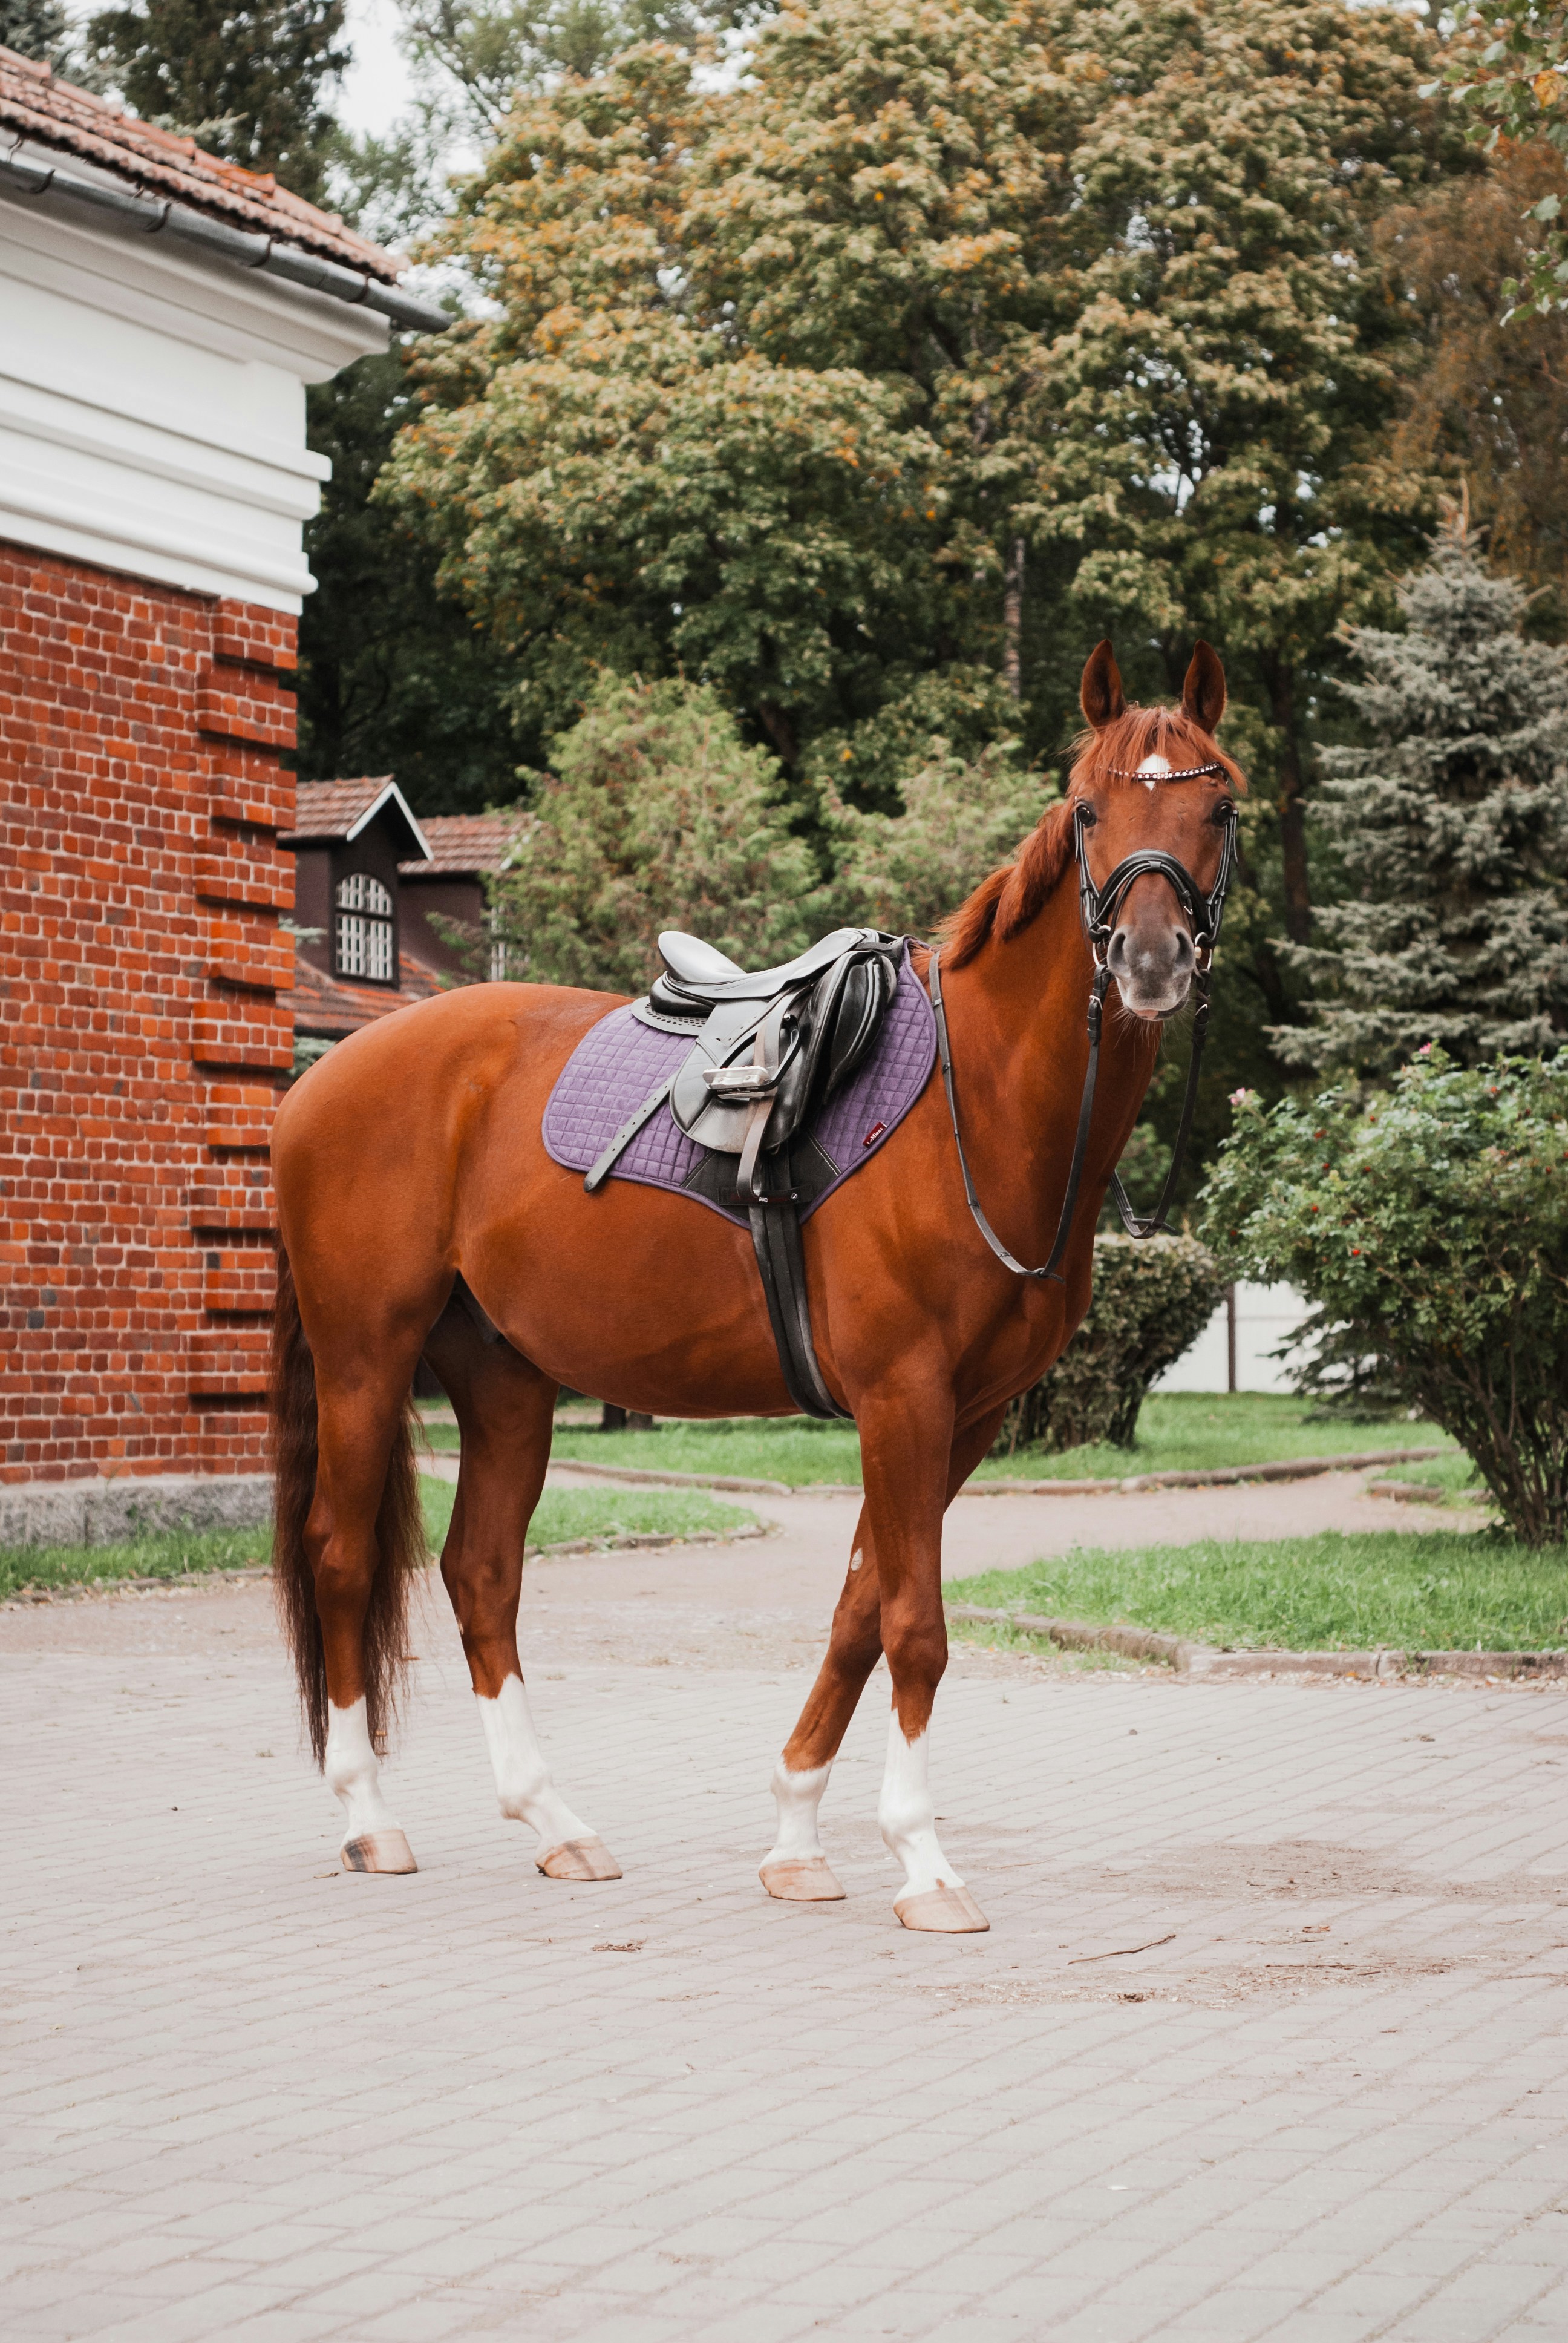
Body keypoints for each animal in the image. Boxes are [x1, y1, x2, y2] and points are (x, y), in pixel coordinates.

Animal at [269, 639, 1246, 1932]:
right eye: (1089, 807)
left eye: (1218, 806)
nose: (1146, 959)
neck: (975, 1103)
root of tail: (319, 1086)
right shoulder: (903, 1398)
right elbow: (915, 1624)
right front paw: (923, 1863)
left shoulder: (965, 1416)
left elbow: (859, 1608)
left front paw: (795, 1838)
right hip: (364, 1358)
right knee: (339, 1555)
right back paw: (370, 1817)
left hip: (506, 1379)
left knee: (481, 1572)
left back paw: (553, 1821)